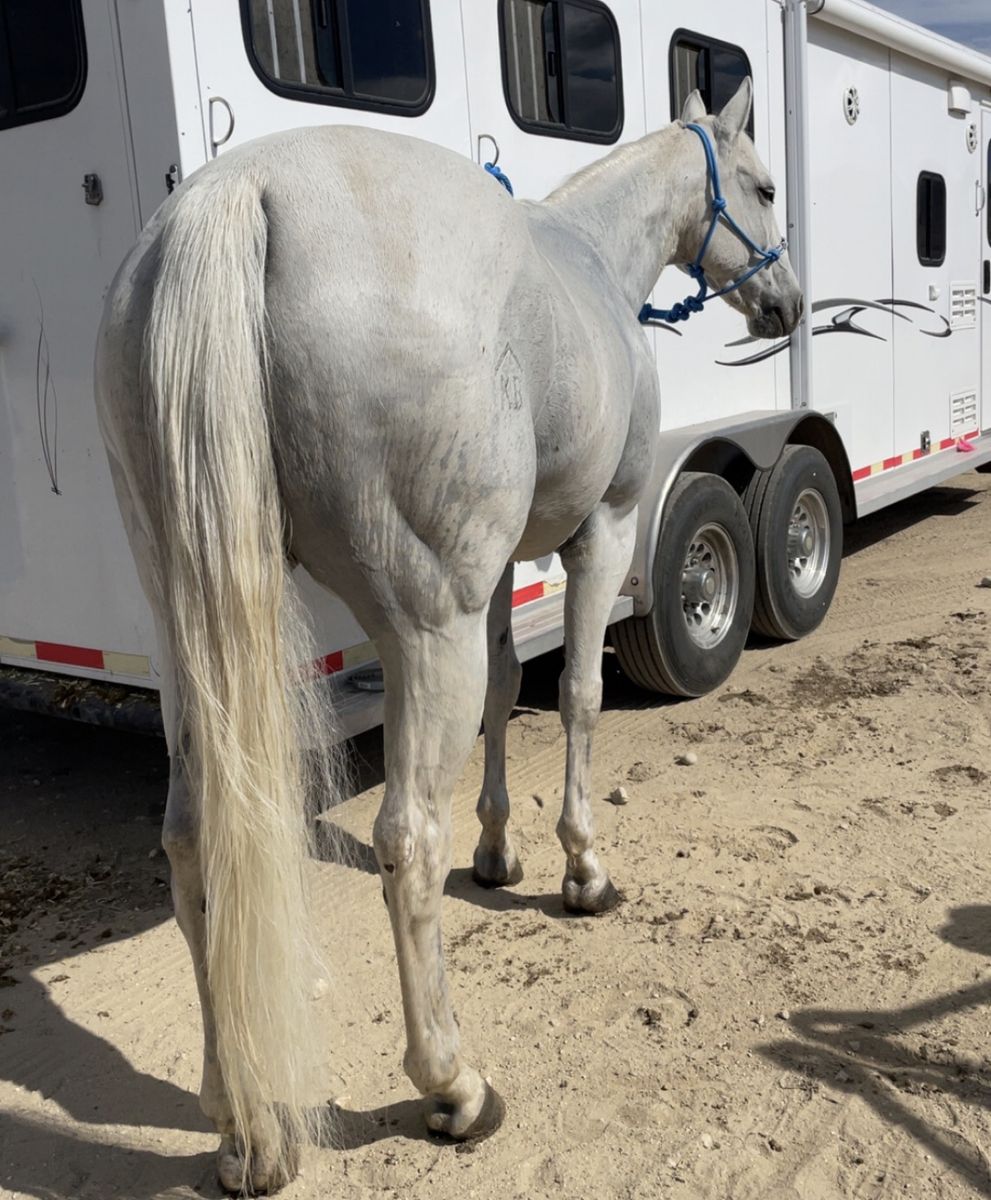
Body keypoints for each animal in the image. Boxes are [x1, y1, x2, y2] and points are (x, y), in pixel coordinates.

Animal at [94, 78, 802, 1193]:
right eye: (764, 186)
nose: (788, 305)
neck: (591, 260)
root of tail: (237, 195)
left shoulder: (503, 569)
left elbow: (508, 693)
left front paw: (500, 852)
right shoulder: (601, 530)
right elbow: (576, 698)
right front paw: (579, 871)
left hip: (190, 639)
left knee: (193, 840)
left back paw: (239, 1122)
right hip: (427, 627)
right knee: (403, 842)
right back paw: (452, 1087)